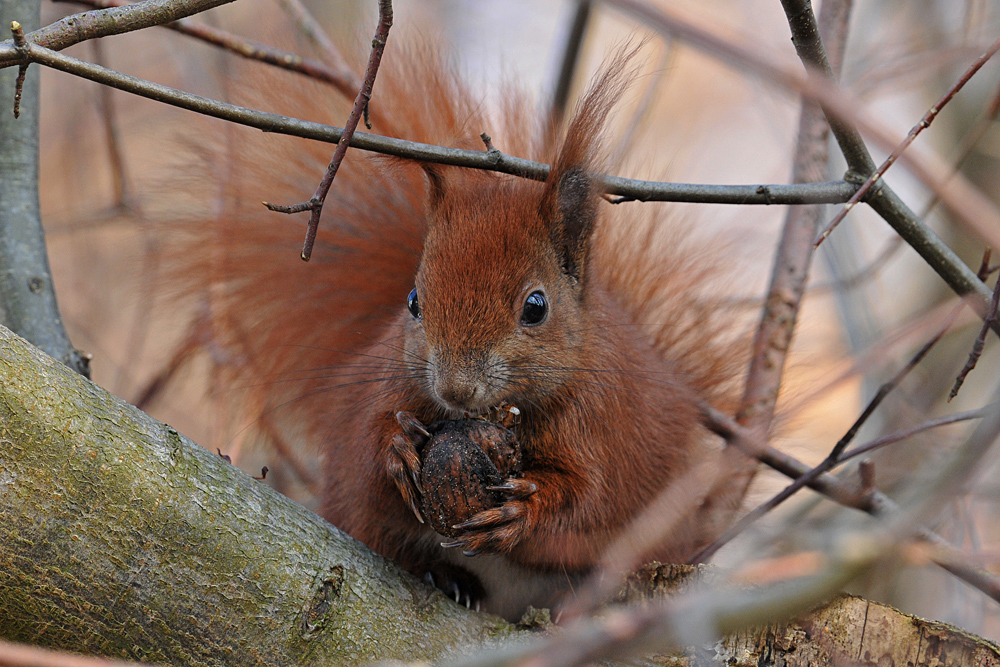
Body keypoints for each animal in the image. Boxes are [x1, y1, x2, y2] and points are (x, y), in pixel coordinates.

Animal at [168, 40, 744, 620]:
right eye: (413, 301)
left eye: (536, 307)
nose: (454, 390)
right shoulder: (383, 394)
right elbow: (363, 465)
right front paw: (397, 446)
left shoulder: (603, 429)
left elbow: (590, 502)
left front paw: (526, 508)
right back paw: (447, 577)